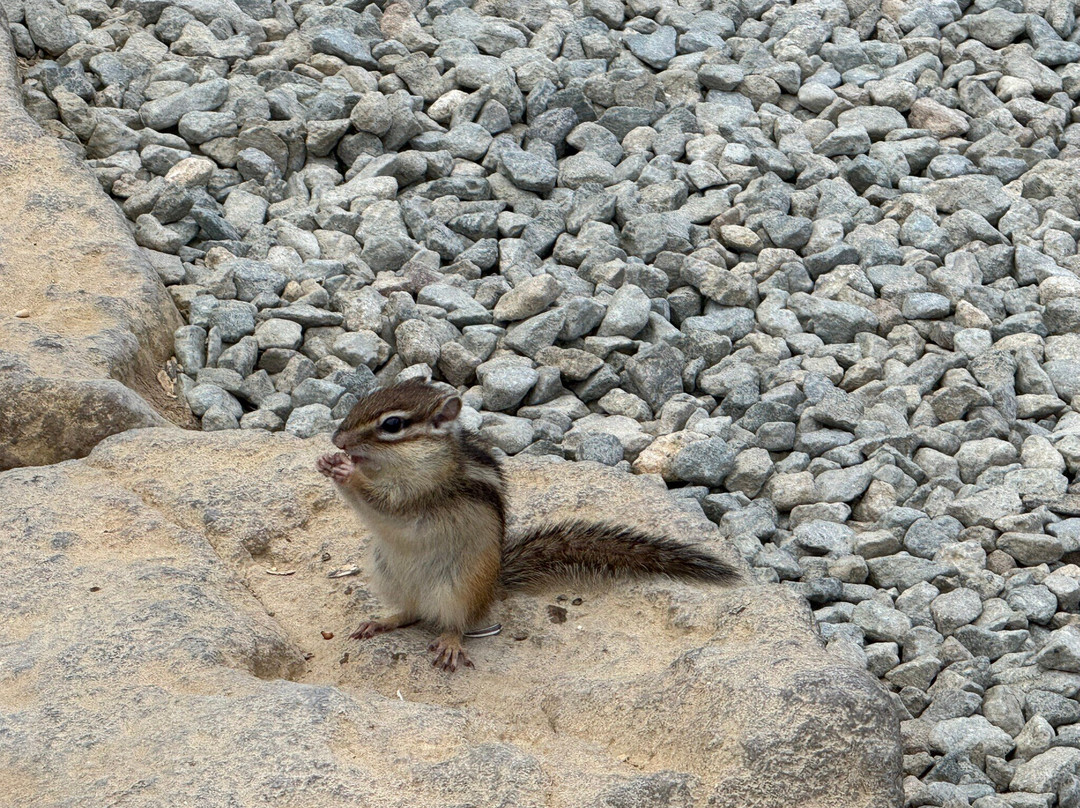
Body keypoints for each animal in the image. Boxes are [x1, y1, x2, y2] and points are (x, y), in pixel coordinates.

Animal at [316, 379, 740, 672]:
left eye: (392, 424)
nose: (337, 438)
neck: (401, 463)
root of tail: (493, 586)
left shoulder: (424, 490)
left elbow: (386, 503)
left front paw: (347, 471)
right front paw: (329, 461)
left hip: (458, 588)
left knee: (456, 621)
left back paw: (450, 642)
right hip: (385, 572)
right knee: (409, 612)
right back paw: (381, 621)